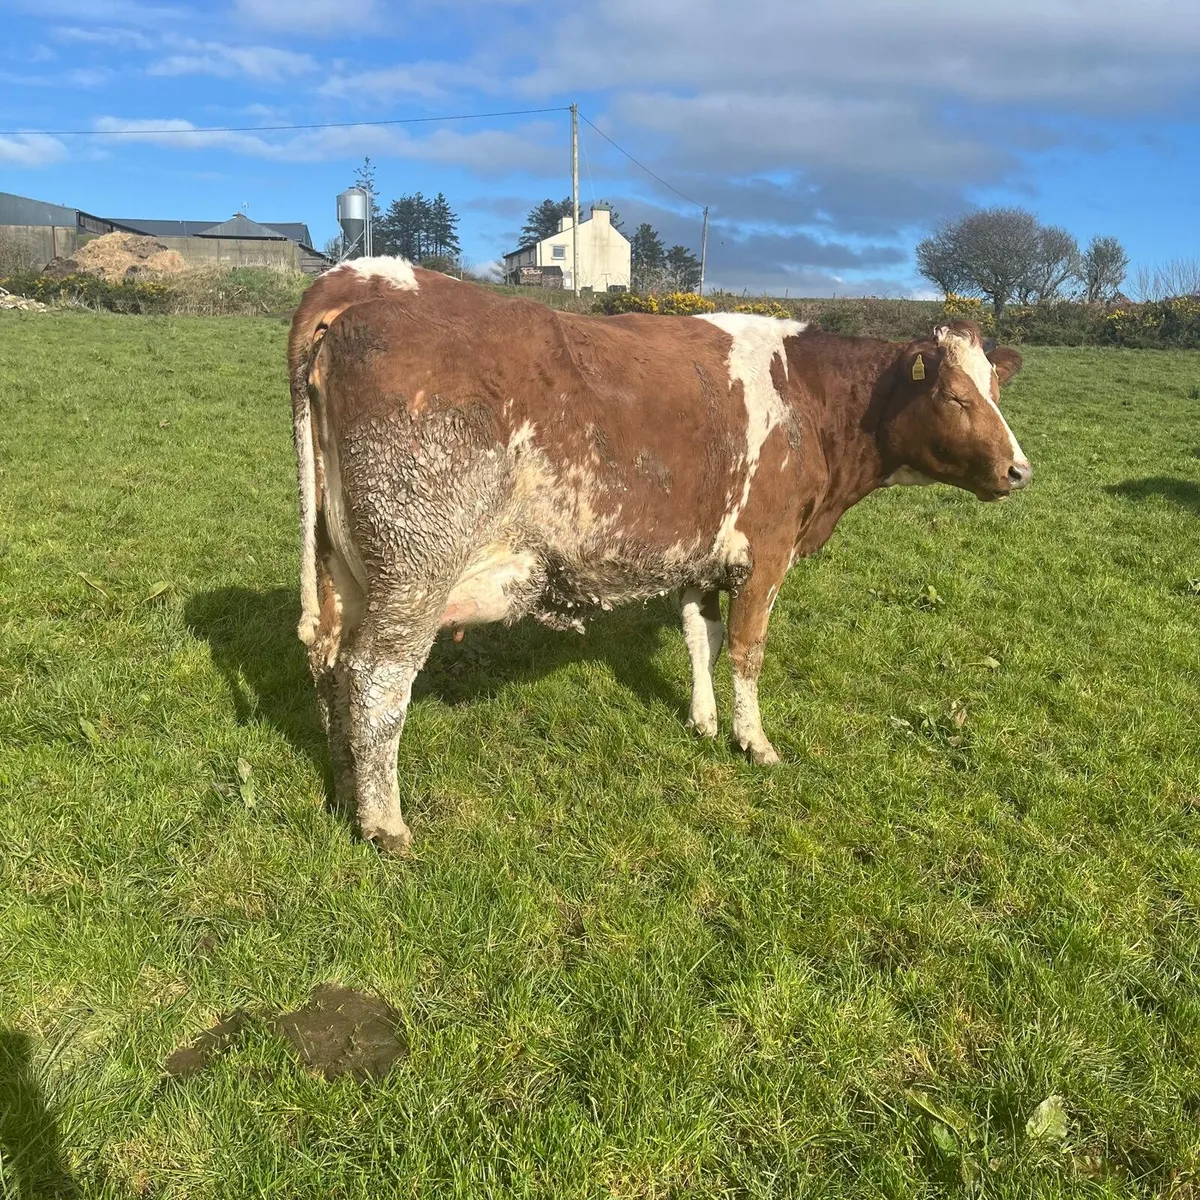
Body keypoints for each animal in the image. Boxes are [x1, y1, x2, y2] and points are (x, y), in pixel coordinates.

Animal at [289, 258, 1030, 852]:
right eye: (957, 396)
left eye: (997, 392)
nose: (1020, 470)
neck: (810, 399)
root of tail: (362, 279)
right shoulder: (766, 551)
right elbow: (747, 650)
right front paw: (754, 742)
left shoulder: (700, 556)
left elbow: (701, 637)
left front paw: (703, 722)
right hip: (416, 567)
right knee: (377, 680)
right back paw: (385, 825)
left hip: (343, 567)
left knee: (330, 662)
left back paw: (344, 780)